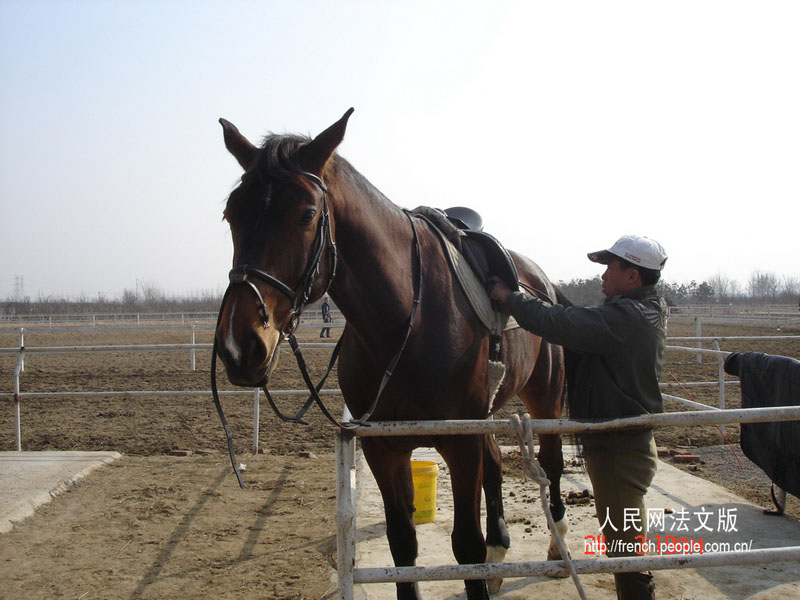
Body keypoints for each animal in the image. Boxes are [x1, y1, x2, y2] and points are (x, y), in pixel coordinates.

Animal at [212, 109, 568, 600]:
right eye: (231, 214)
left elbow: (466, 545)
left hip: (545, 398)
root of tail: (543, 281)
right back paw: (499, 556)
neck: (406, 320)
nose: (239, 345)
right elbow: (403, 545)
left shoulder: (459, 441)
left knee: (552, 462)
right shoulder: (383, 446)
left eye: (307, 215)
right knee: (496, 463)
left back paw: (555, 549)